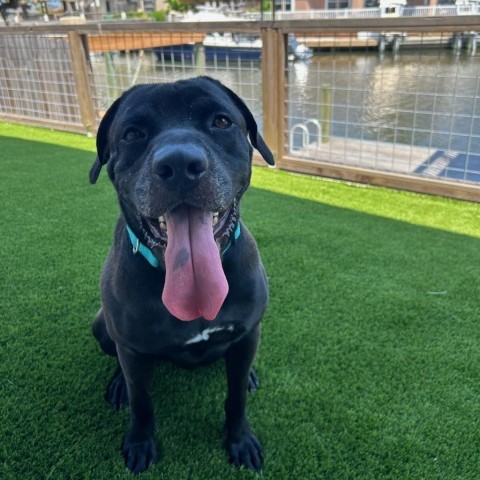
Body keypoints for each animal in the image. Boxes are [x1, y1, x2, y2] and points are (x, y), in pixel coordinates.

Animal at [89, 77, 274, 474]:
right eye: (132, 133)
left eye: (221, 121)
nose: (179, 162)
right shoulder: (132, 349)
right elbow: (142, 402)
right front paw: (140, 442)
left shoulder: (249, 331)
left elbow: (236, 397)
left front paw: (240, 440)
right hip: (102, 325)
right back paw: (119, 386)